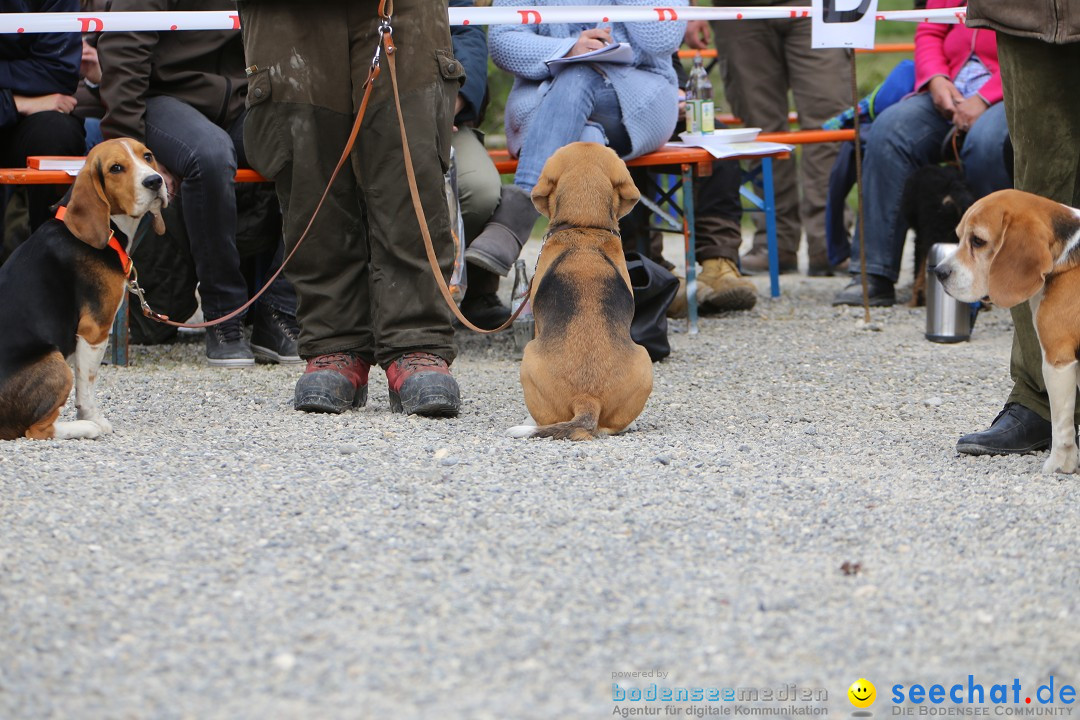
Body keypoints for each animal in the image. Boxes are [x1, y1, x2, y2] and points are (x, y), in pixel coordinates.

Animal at [933, 188, 1080, 474]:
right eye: (958, 236)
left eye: (978, 241)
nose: (939, 272)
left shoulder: (1058, 360)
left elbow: (1061, 424)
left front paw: (1059, 464)